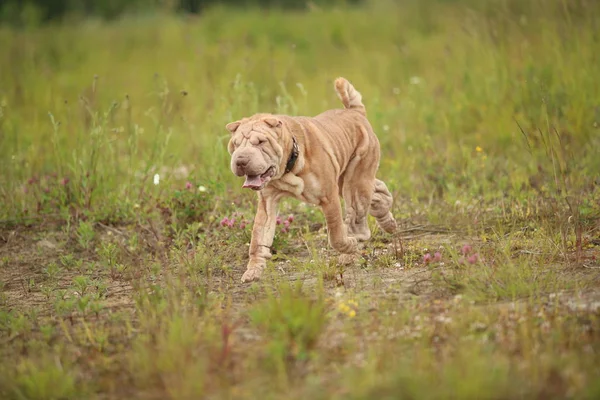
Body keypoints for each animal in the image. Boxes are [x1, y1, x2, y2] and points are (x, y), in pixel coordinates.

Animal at [227, 76, 396, 282]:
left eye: (260, 142)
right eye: (235, 145)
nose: (241, 160)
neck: (289, 164)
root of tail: (355, 112)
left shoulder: (329, 198)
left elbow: (336, 235)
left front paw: (349, 246)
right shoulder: (267, 202)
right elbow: (258, 238)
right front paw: (253, 270)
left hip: (355, 181)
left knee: (358, 215)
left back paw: (353, 249)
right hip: (349, 179)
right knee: (379, 192)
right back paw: (388, 223)